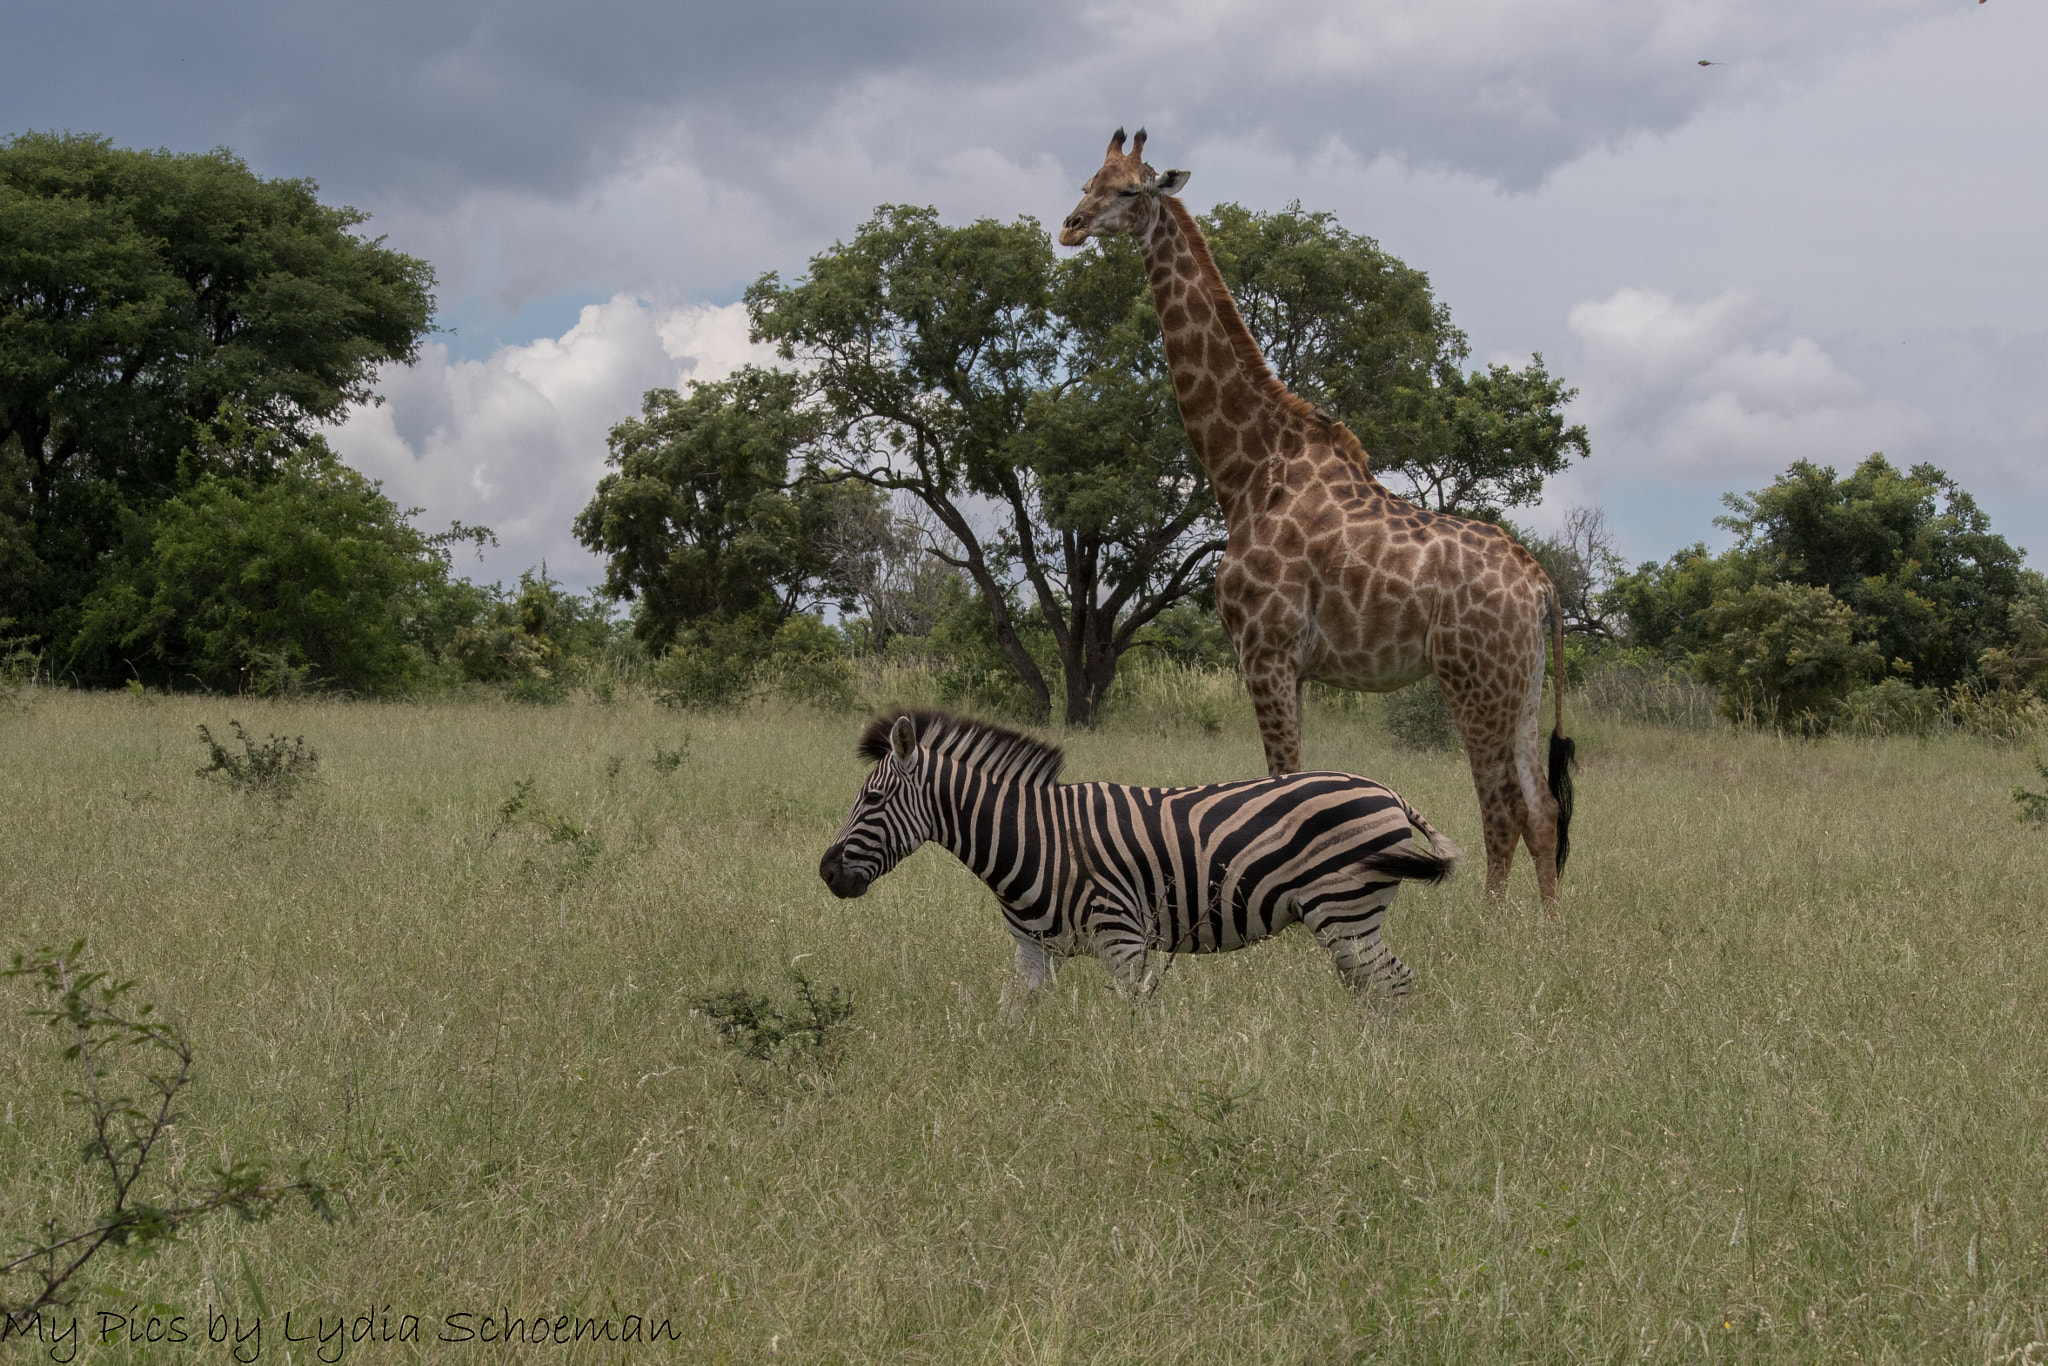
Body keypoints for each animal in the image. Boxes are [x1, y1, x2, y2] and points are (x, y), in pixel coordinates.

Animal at [817, 709, 1461, 1001]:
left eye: (872, 799)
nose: (825, 872)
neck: (1033, 837)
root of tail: (1387, 790)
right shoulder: (1032, 951)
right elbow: (1010, 1018)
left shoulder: (1122, 940)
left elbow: (1133, 1026)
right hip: (1346, 921)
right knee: (1376, 986)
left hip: (1345, 912)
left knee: (1393, 983)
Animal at [1059, 128, 1575, 910]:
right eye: (1089, 179)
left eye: (1129, 189)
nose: (1071, 226)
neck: (1246, 470)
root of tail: (1540, 585)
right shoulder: (1289, 665)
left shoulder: (1265, 650)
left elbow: (1279, 790)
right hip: (1522, 683)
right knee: (1541, 807)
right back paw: (1545, 929)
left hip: (1473, 679)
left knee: (1503, 807)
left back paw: (1495, 926)